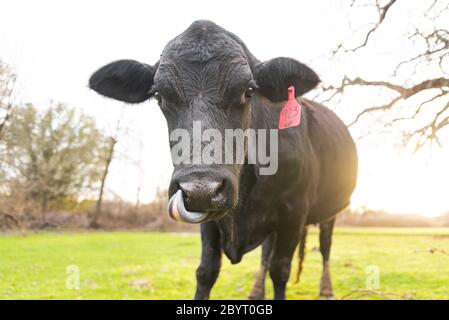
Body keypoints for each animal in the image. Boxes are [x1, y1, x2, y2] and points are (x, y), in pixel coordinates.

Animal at [89, 20, 356, 300]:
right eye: (159, 95)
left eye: (249, 90)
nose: (201, 189)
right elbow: (206, 271)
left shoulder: (294, 210)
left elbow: (280, 270)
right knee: (265, 254)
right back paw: (256, 291)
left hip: (330, 212)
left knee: (324, 247)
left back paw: (326, 289)